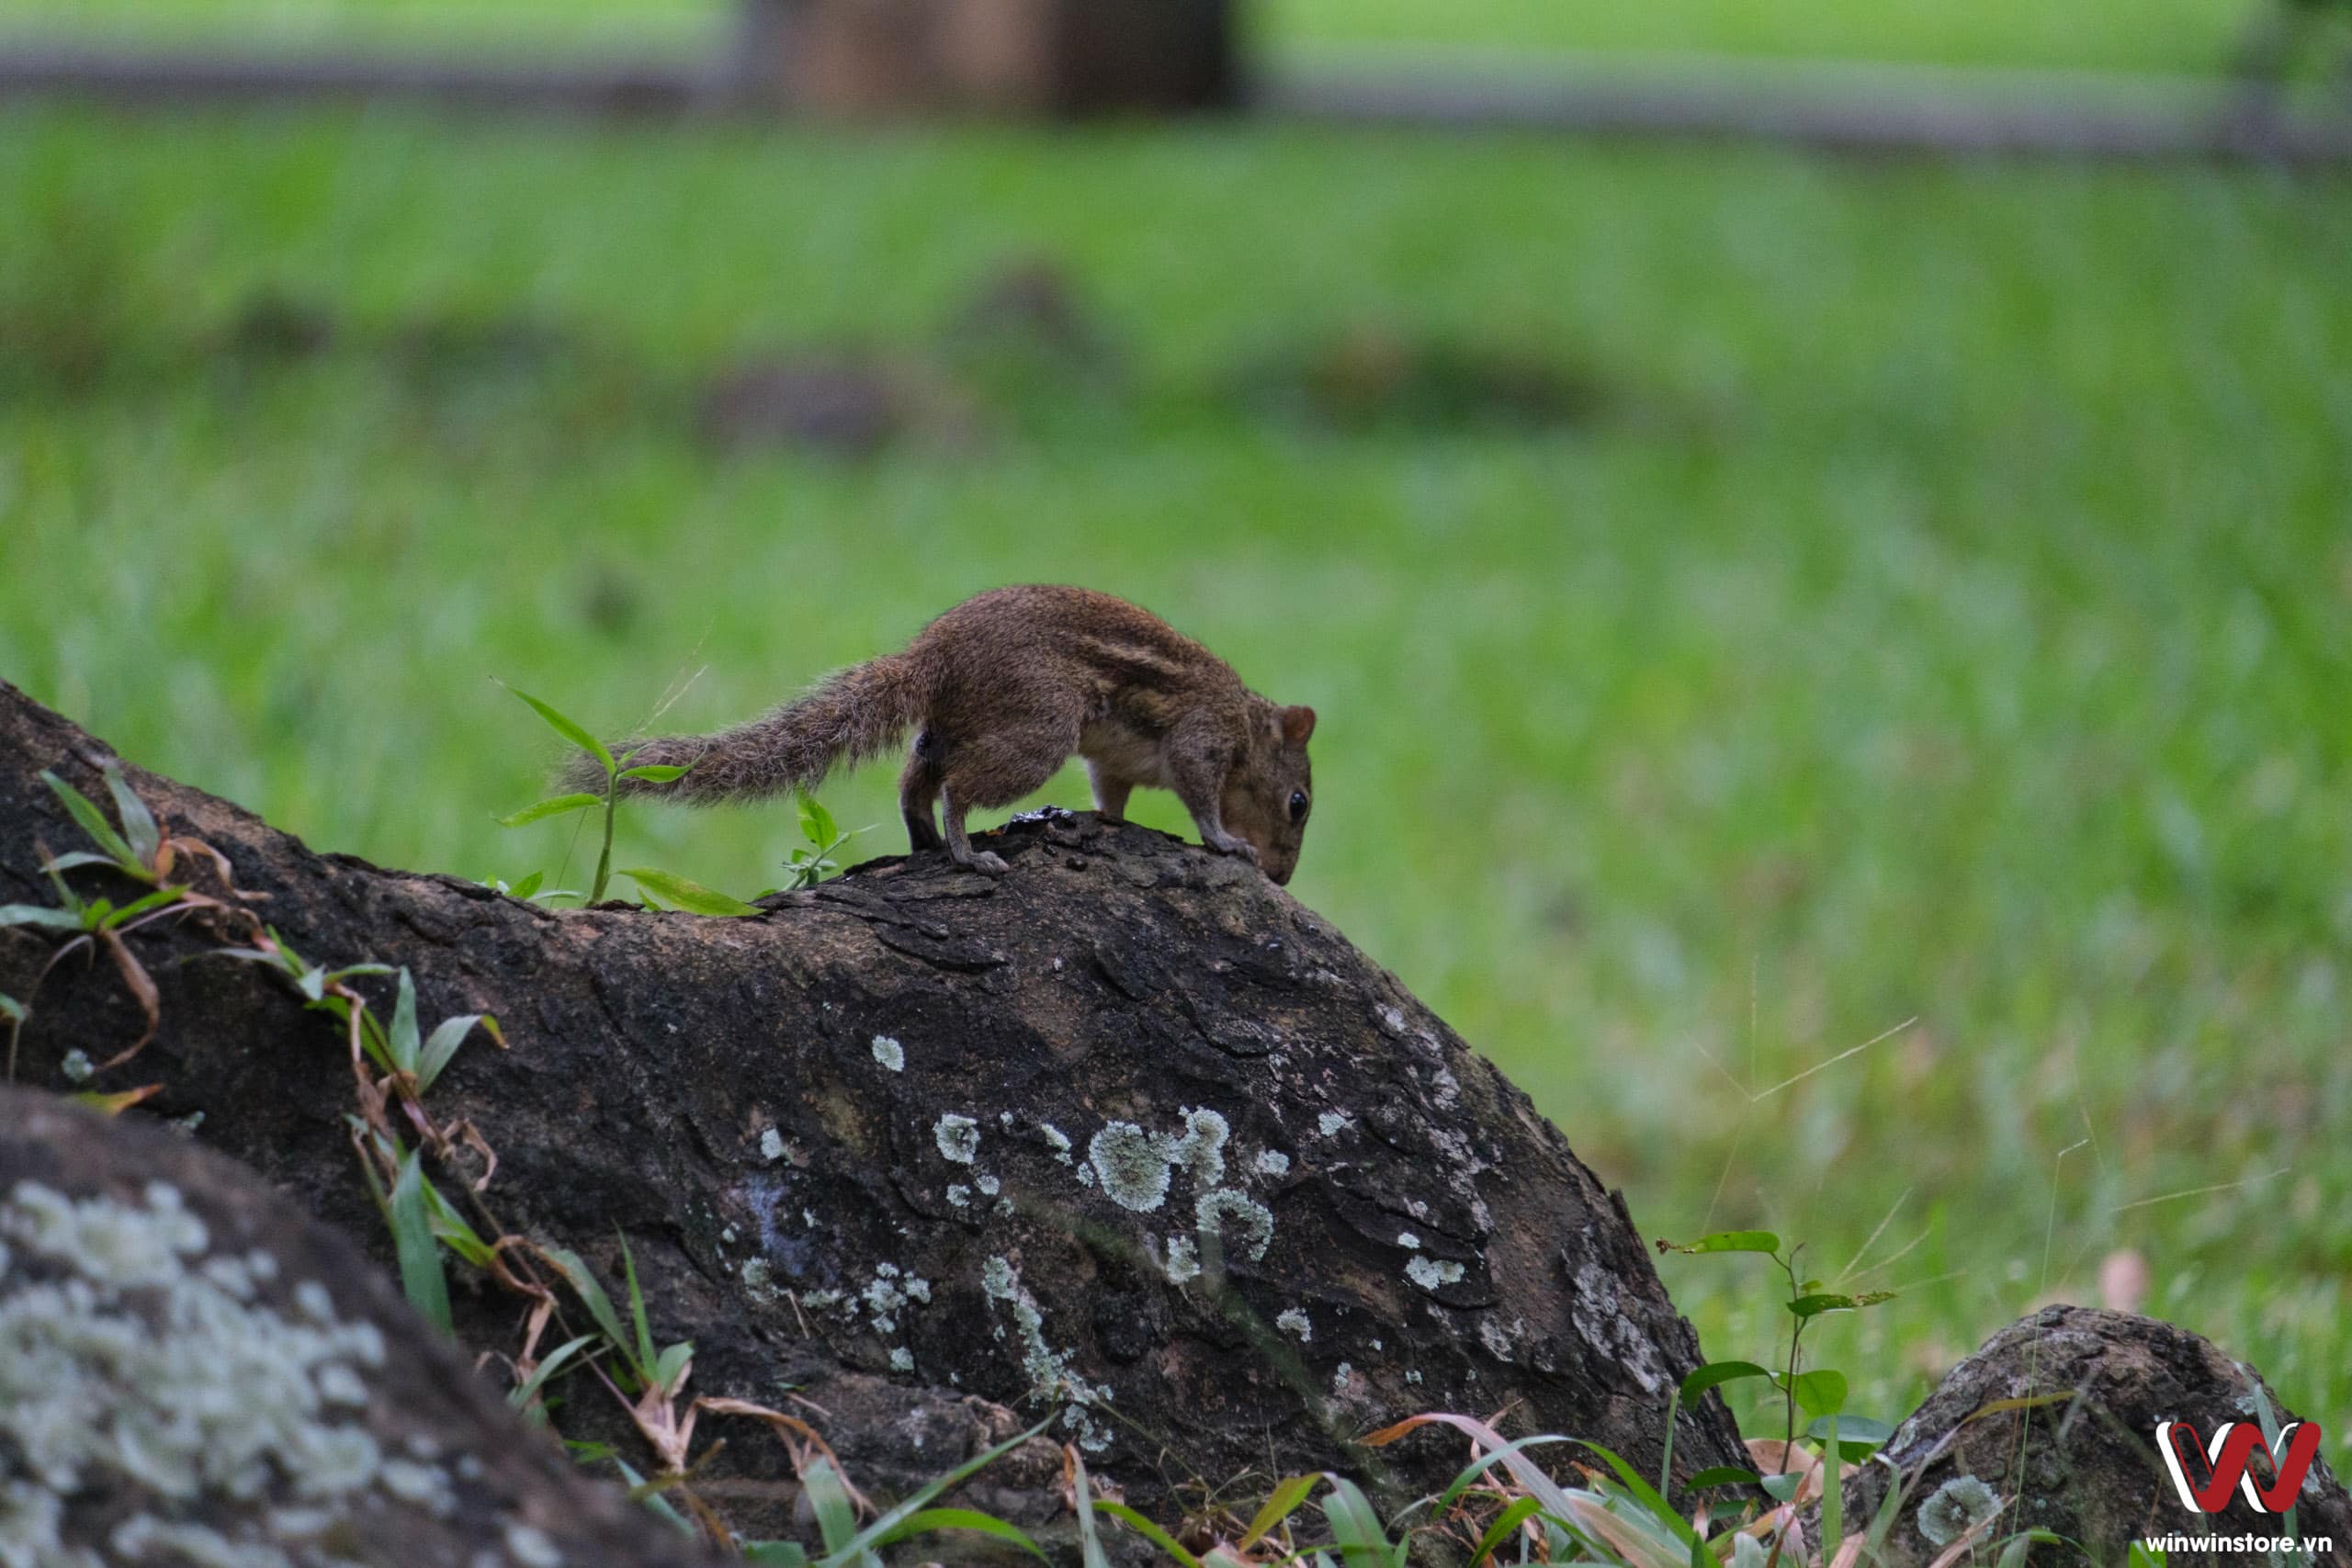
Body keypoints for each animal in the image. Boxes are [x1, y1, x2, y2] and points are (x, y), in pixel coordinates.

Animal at [582, 585, 1326, 884]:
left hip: (950, 729)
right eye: (1298, 803)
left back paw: (926, 840)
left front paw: (1109, 824)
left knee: (916, 781)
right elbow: (1200, 798)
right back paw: (967, 852)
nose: (1284, 877)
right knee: (958, 788)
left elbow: (1111, 794)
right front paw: (1227, 843)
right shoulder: (1201, 739)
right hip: (1037, 731)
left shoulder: (1116, 766)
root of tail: (932, 657)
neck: (1246, 723)